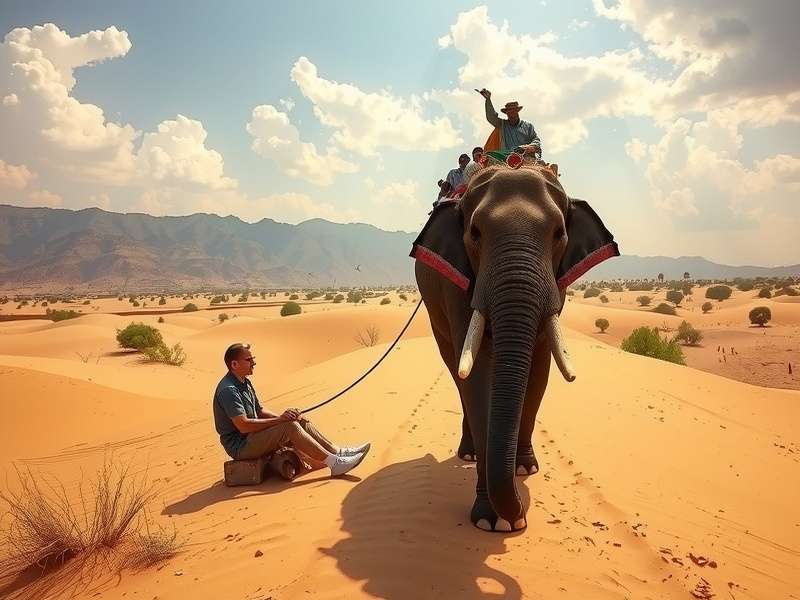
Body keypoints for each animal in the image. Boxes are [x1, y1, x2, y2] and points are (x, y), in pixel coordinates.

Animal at [410, 160, 618, 532]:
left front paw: (525, 469)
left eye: (558, 234)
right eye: (475, 233)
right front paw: (493, 521)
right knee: (456, 372)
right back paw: (468, 452)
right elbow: (477, 376)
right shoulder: (458, 282)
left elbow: (539, 371)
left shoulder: (557, 286)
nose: (520, 513)